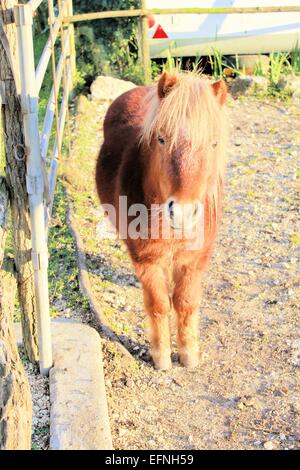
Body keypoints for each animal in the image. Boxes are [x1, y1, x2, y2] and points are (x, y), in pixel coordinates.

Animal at [96, 70, 227, 370]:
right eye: (161, 139)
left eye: (214, 143)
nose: (182, 212)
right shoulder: (147, 260)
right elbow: (158, 304)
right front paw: (161, 356)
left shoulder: (194, 261)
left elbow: (185, 302)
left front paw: (189, 353)